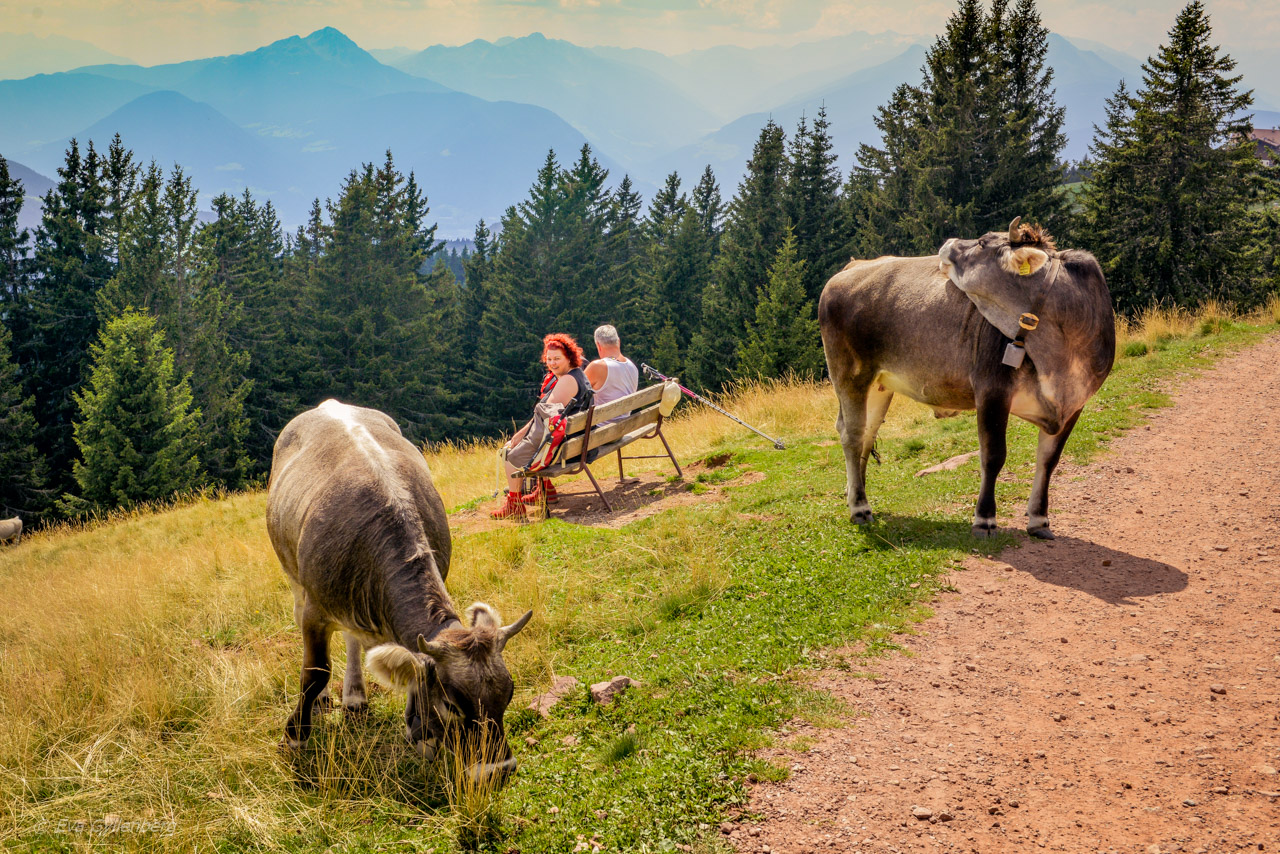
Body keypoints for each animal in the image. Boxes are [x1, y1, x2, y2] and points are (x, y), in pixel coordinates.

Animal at [267, 396, 532, 783]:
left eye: (509, 693)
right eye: (452, 704)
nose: (497, 770)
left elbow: (413, 664)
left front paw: (418, 730)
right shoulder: (316, 610)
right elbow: (315, 671)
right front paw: (296, 734)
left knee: (352, 640)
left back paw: (355, 696)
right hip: (293, 574)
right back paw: (323, 703)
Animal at [819, 220, 1111, 540]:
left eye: (982, 243)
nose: (948, 242)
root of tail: (853, 266)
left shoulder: (1073, 405)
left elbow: (1049, 460)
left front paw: (1039, 520)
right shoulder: (991, 390)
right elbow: (993, 455)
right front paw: (984, 519)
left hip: (879, 385)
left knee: (865, 436)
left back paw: (855, 495)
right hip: (850, 374)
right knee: (852, 435)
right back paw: (860, 507)